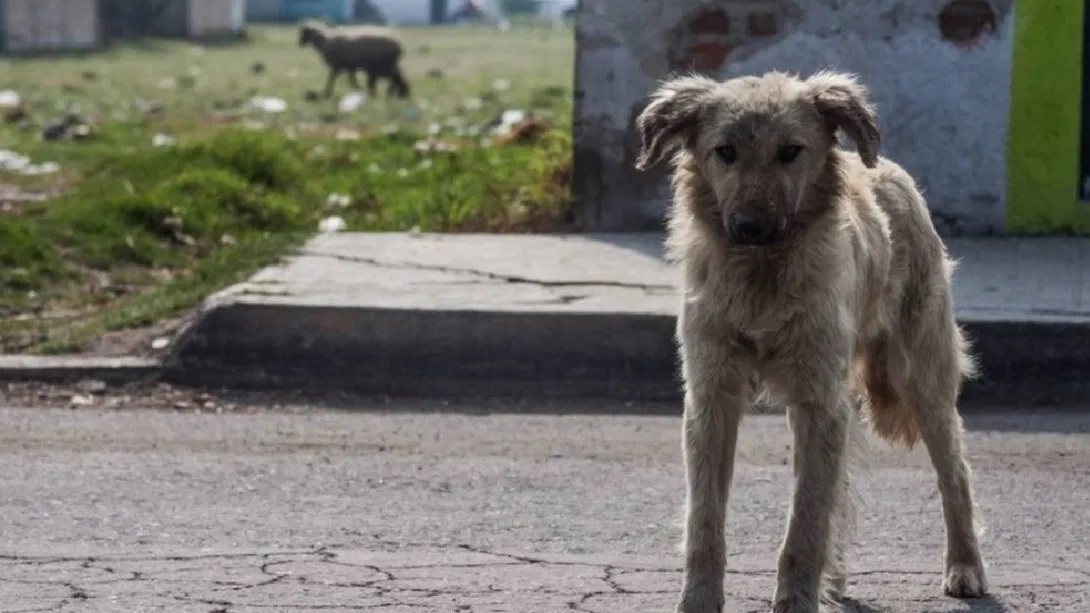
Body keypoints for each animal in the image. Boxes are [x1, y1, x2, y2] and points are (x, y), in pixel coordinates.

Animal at [636, 71, 994, 610]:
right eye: (725, 152)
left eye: (790, 151)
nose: (751, 227)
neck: (761, 280)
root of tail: (891, 172)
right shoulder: (712, 397)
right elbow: (706, 518)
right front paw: (698, 598)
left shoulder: (818, 402)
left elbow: (805, 519)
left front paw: (796, 598)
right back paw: (837, 578)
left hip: (921, 380)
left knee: (955, 473)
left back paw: (965, 566)